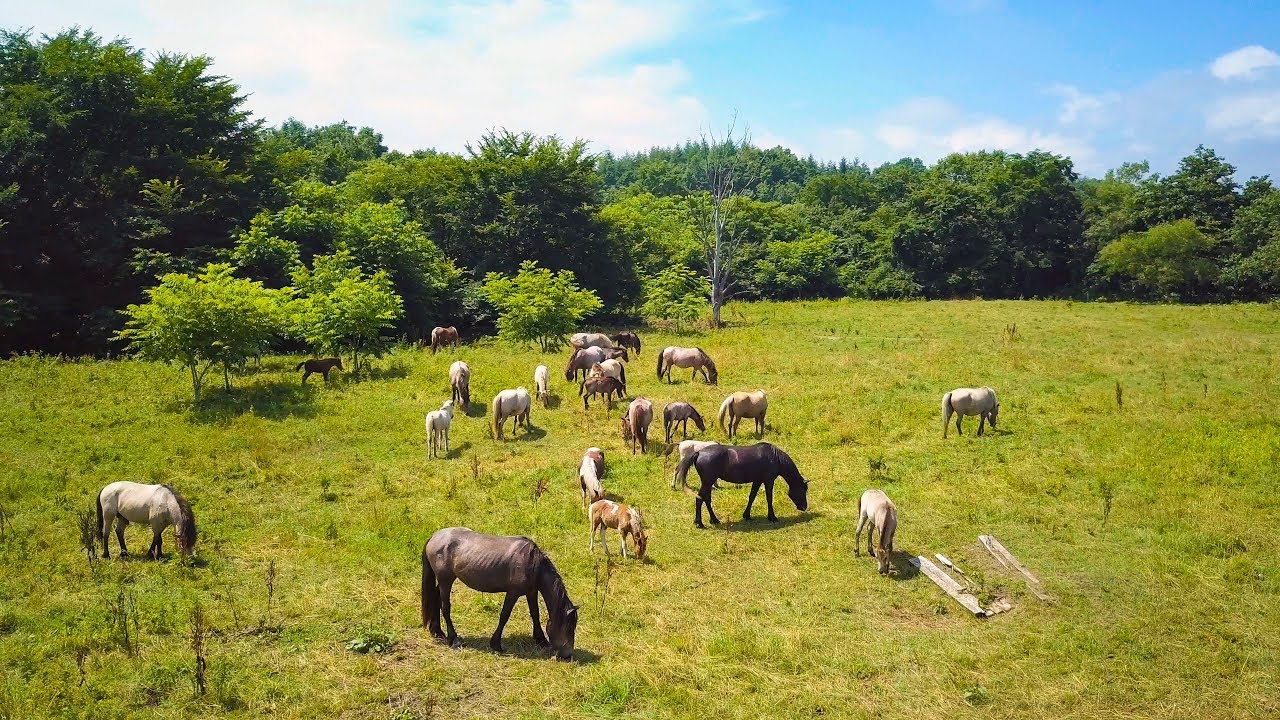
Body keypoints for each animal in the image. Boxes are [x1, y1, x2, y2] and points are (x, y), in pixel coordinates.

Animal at [422, 527, 579, 659]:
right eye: (569, 628)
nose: (568, 655)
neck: (533, 563)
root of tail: (433, 537)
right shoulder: (513, 592)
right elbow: (504, 615)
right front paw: (496, 644)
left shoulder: (531, 592)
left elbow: (535, 614)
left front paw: (541, 640)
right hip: (446, 580)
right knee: (445, 608)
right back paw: (454, 641)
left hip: (443, 582)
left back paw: (438, 632)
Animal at [675, 443, 809, 528]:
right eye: (803, 490)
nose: (804, 507)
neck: (775, 457)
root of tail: (698, 453)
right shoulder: (768, 481)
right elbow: (769, 498)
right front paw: (772, 517)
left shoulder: (757, 481)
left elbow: (752, 497)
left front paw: (747, 516)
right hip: (707, 482)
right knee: (700, 499)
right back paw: (699, 523)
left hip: (708, 483)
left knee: (706, 499)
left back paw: (714, 520)